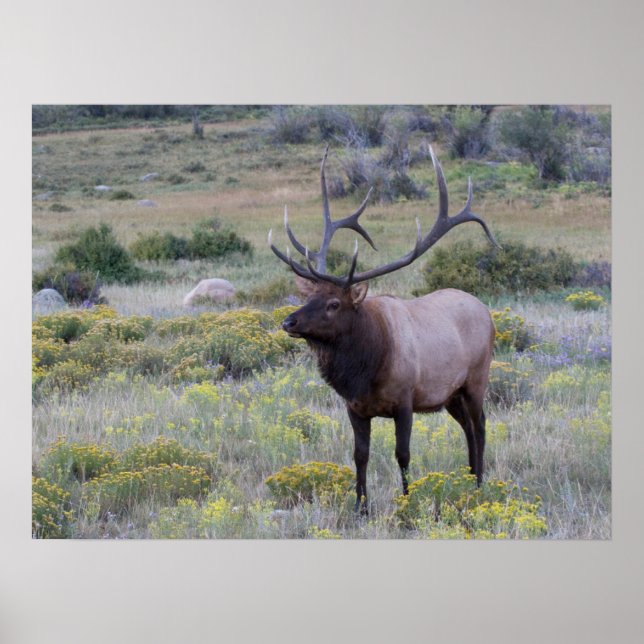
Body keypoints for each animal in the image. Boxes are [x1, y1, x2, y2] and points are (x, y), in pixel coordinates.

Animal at [269, 146, 500, 513]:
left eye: (334, 304)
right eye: (310, 296)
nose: (288, 322)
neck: (366, 369)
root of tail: (486, 312)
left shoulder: (405, 401)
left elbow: (402, 455)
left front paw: (406, 502)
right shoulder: (355, 407)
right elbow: (359, 455)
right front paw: (361, 507)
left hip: (477, 378)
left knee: (480, 425)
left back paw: (478, 483)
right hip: (449, 394)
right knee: (467, 427)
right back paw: (469, 477)